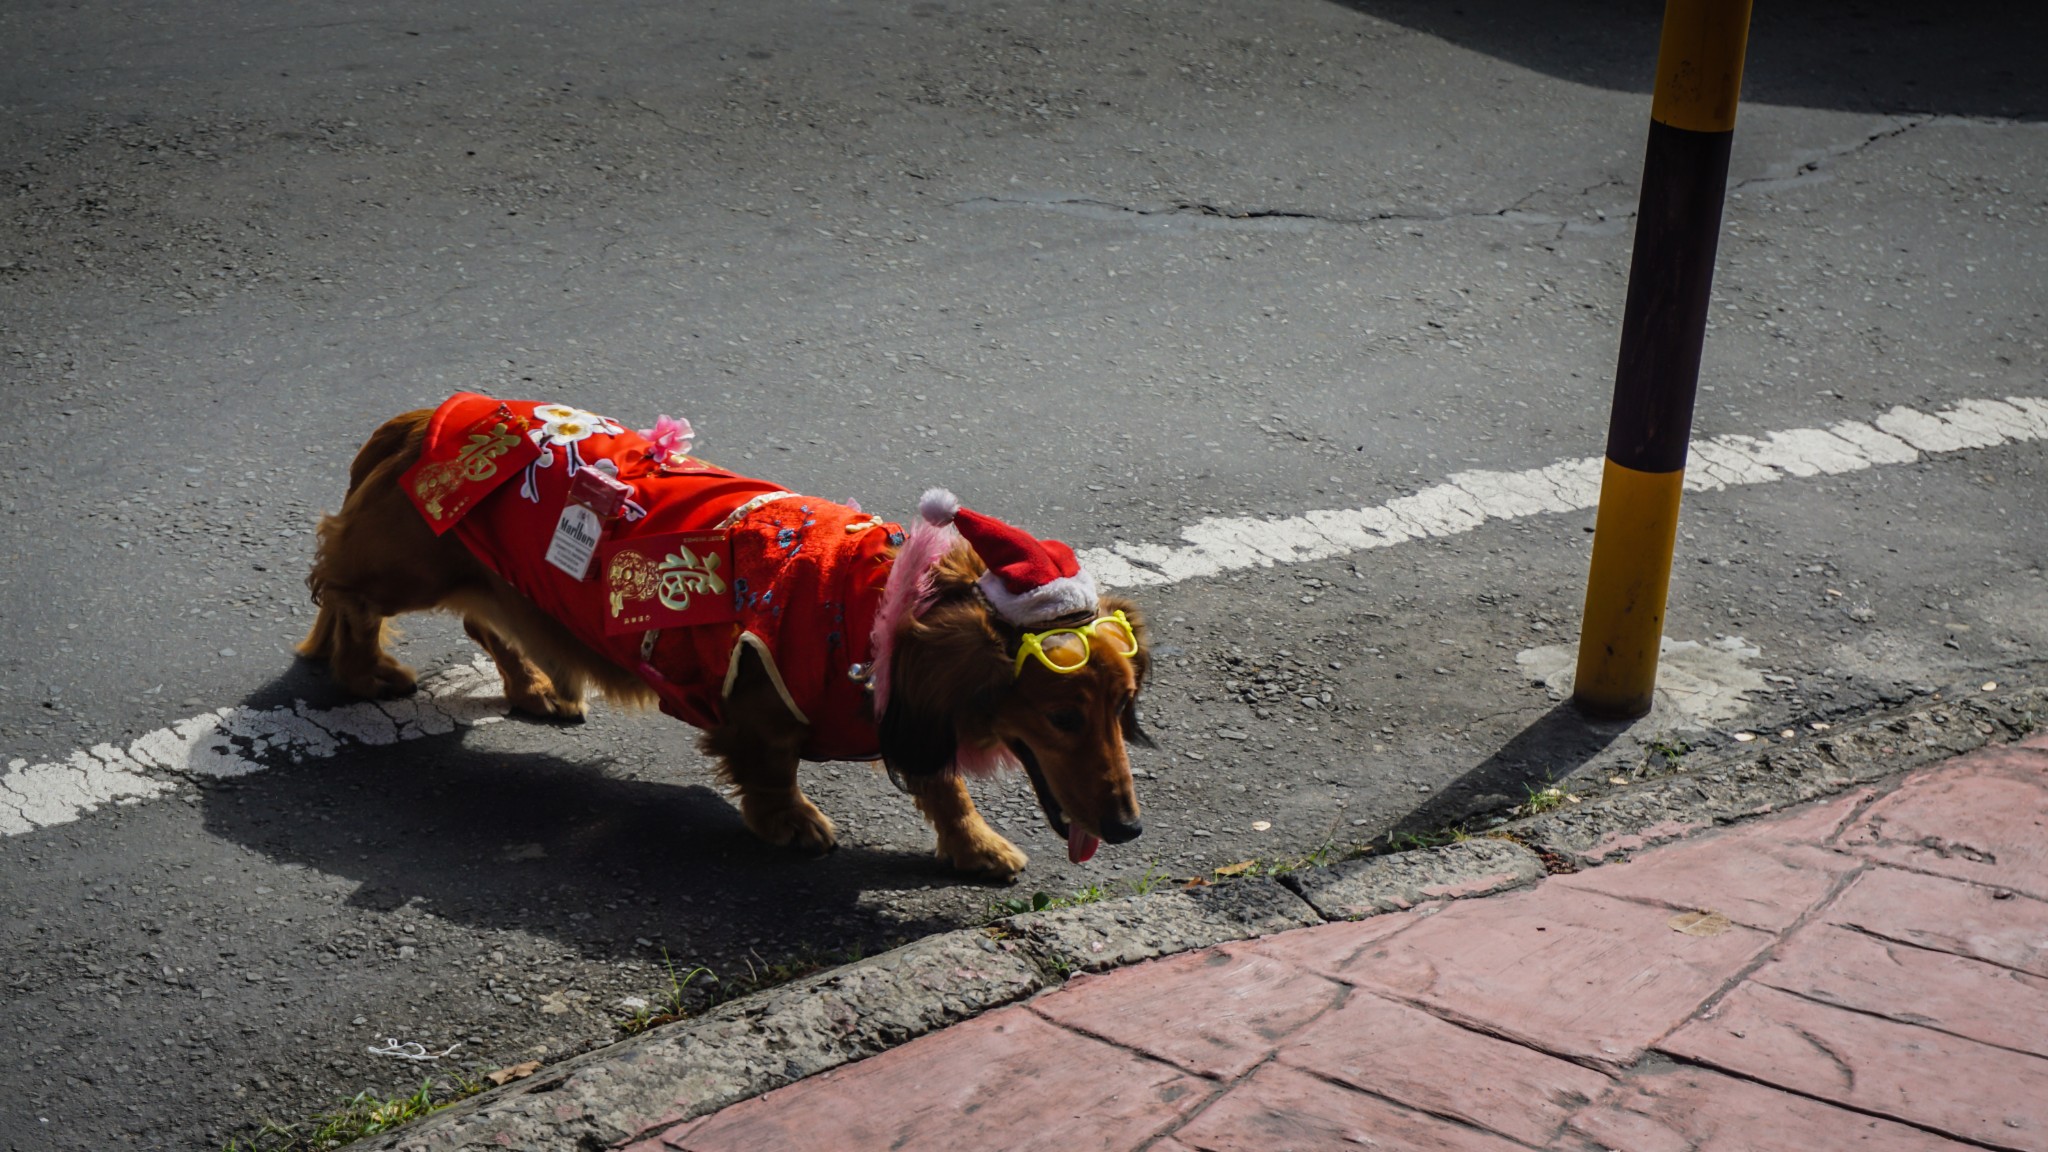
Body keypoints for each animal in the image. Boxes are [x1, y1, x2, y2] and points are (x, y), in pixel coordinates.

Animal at [296, 399, 1155, 873]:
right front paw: (791, 824)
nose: (1129, 829)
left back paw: (536, 687)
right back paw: (366, 671)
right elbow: (771, 772)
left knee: (484, 617)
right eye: (1063, 717)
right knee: (342, 585)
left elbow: (945, 786)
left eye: (1122, 709)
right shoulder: (758, 702)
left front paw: (975, 847)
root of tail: (430, 416)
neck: (874, 608)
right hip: (410, 564)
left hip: (498, 577)